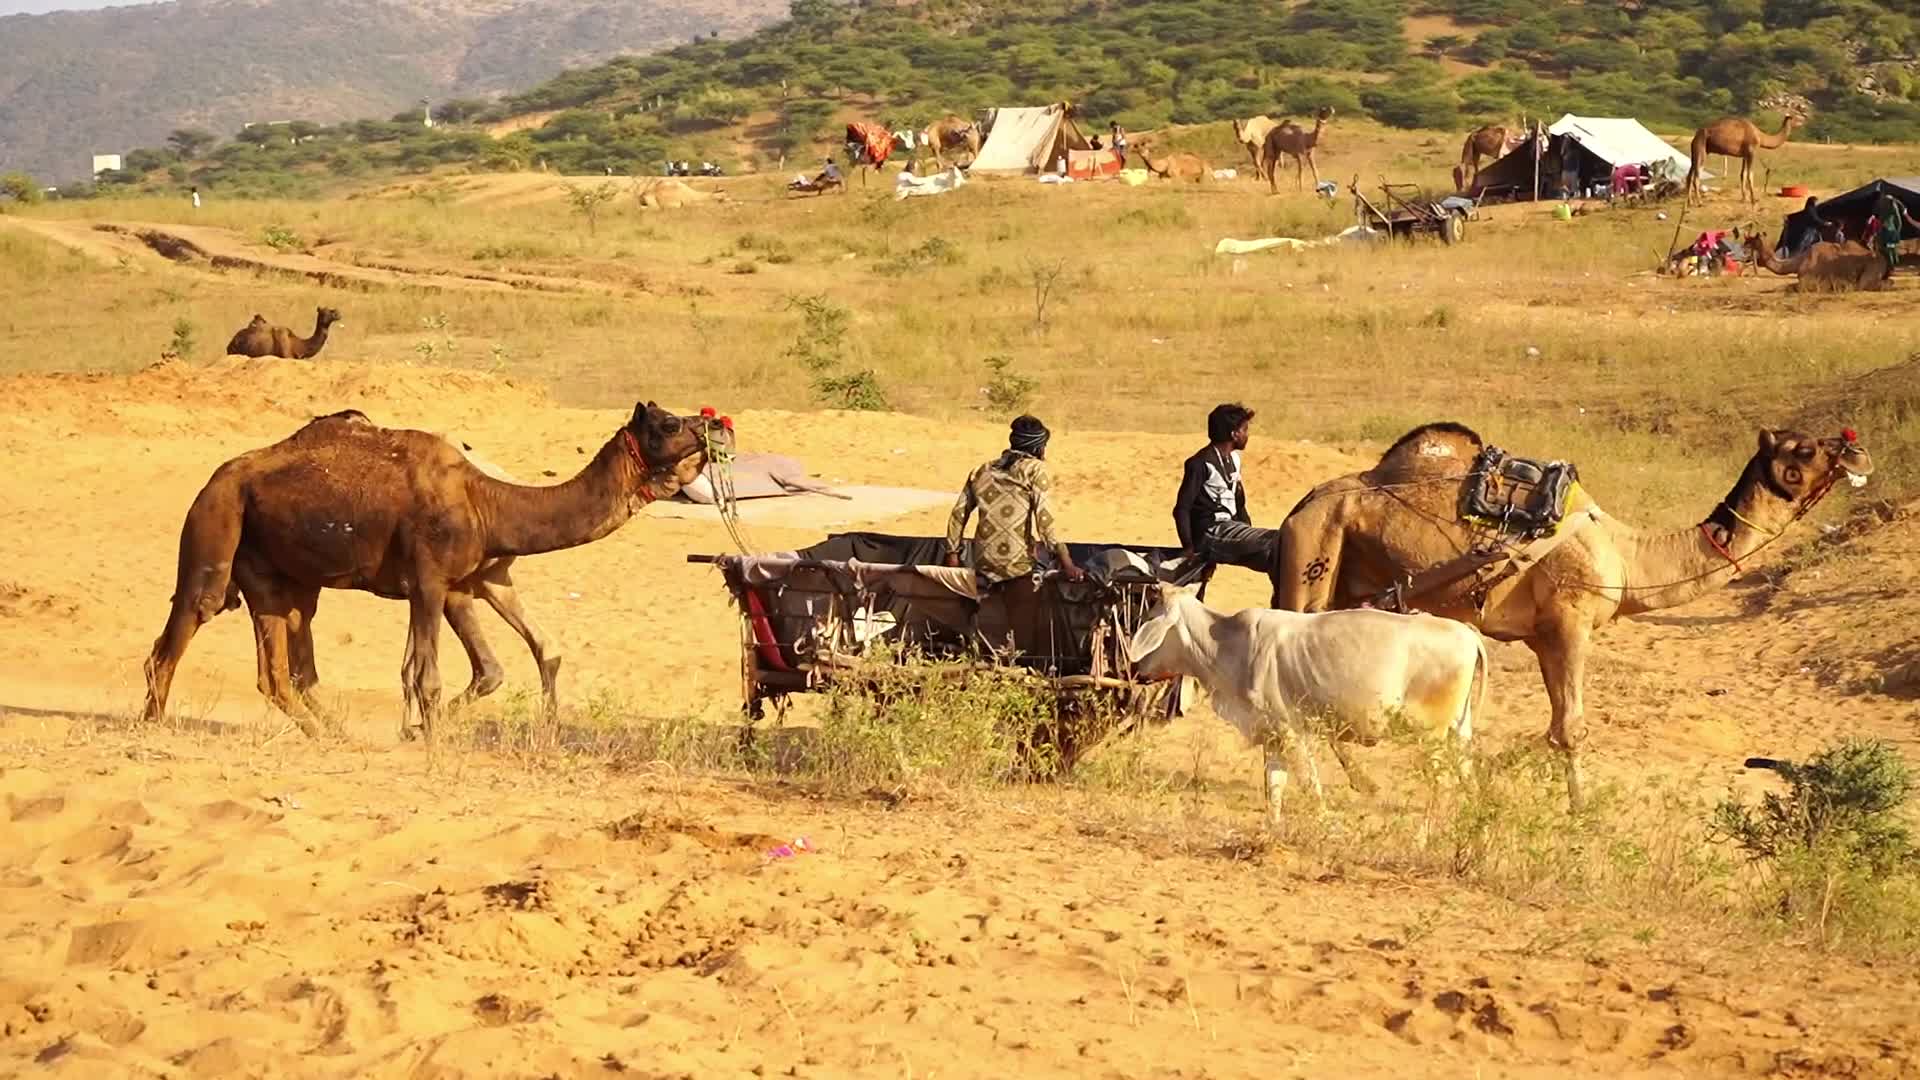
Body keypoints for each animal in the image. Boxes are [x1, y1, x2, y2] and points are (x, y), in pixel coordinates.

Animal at [143, 401, 727, 742]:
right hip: (216, 522)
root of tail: (216, 477)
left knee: (283, 663)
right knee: (186, 623)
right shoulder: (428, 580)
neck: (488, 500)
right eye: (670, 423)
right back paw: (154, 725)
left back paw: (333, 733)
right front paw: (431, 737)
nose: (716, 426)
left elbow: (508, 661)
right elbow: (428, 678)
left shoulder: (467, 582)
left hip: (281, 575)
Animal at [1273, 421, 1873, 810]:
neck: (1628, 557)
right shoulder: (1570, 622)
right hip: (1314, 553)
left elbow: (1555, 726)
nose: (1858, 450)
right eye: (1803, 449)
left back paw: (1362, 785)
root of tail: (1299, 506)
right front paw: (1581, 810)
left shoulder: (1542, 637)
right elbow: (1572, 729)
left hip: (1348, 585)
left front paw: (1488, 786)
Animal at [1741, 234, 1889, 292]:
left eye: (1748, 244)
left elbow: (1788, 287)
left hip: (1871, 270)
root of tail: (1883, 259)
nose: (1742, 256)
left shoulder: (1809, 282)